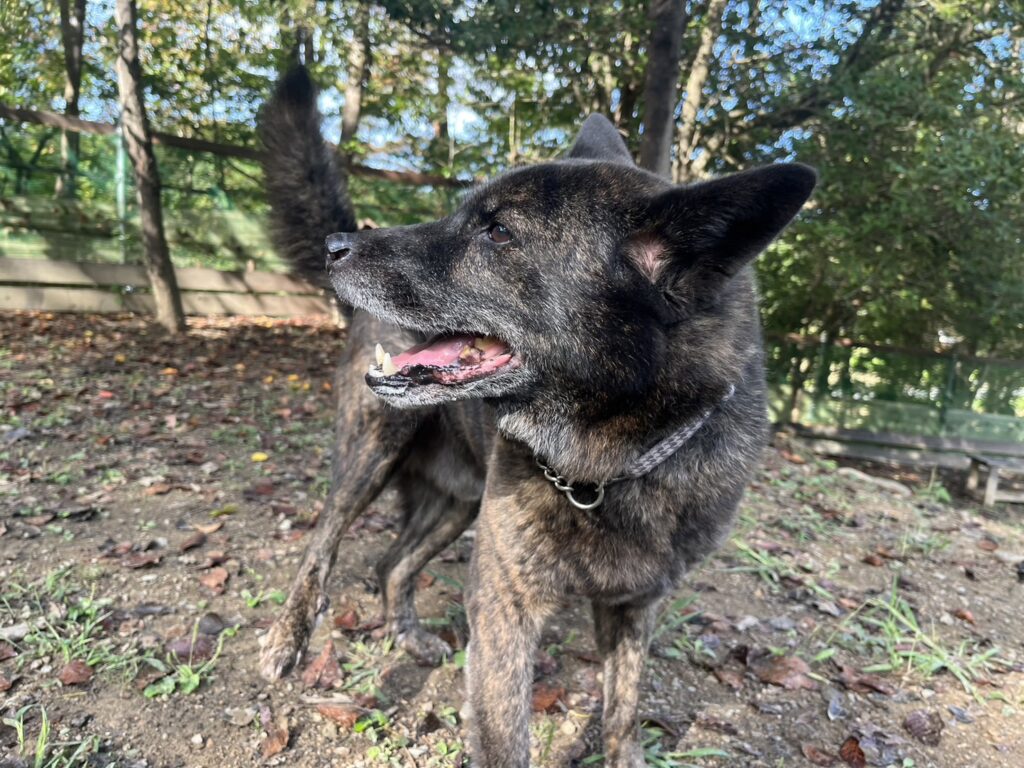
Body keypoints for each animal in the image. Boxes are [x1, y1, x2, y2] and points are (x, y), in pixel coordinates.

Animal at [257, 66, 816, 767]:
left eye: (497, 233)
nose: (336, 246)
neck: (613, 462)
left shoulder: (634, 610)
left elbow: (622, 713)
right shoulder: (506, 608)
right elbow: (505, 737)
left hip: (460, 505)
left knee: (392, 565)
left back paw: (408, 636)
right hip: (372, 452)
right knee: (324, 541)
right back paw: (286, 639)